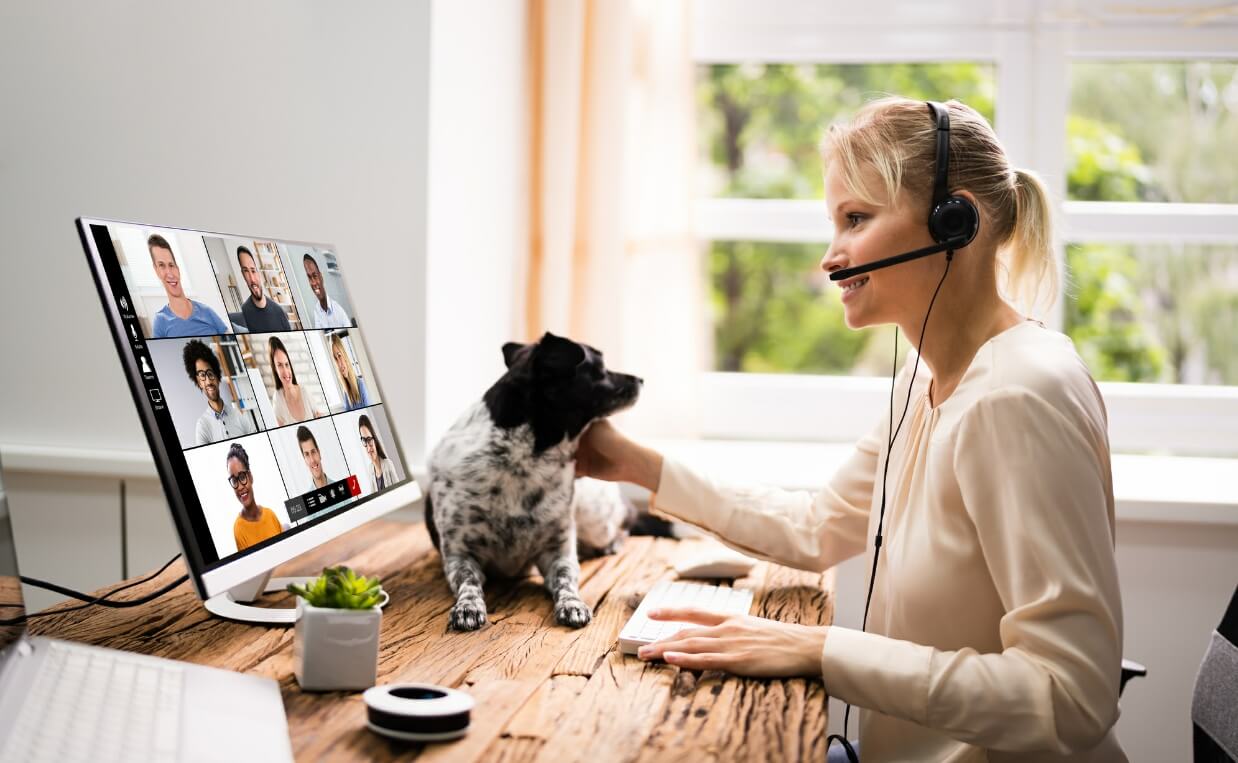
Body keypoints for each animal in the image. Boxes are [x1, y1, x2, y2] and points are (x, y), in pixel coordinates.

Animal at [425, 334, 648, 631]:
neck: (522, 460)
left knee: (626, 523)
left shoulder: (557, 550)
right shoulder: (459, 553)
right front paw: (467, 607)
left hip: (596, 518)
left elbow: (566, 579)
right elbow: (468, 582)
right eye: (600, 368)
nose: (641, 379)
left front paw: (572, 604)